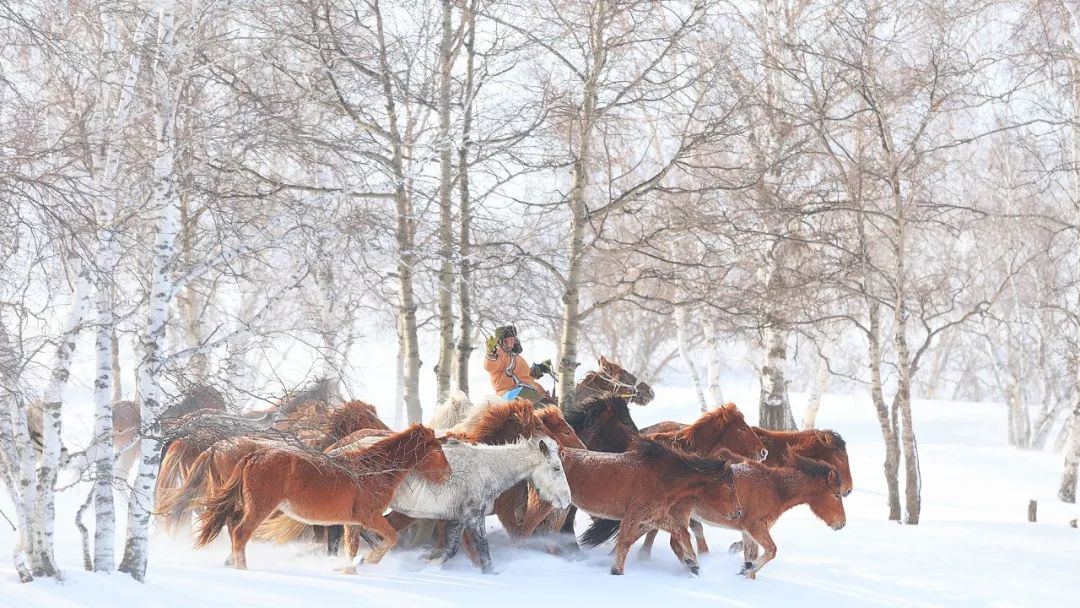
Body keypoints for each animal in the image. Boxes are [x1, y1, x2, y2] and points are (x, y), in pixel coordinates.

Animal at [194, 425, 447, 574]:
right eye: (436, 450)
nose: (448, 474)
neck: (373, 470)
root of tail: (253, 455)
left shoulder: (352, 522)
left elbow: (351, 548)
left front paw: (349, 570)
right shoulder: (369, 516)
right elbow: (391, 538)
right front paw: (369, 560)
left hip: (250, 505)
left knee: (233, 525)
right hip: (261, 507)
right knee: (240, 533)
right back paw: (243, 569)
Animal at [341, 436, 570, 574]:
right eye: (556, 468)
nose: (567, 500)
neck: (486, 470)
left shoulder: (458, 518)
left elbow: (451, 549)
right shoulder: (474, 516)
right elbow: (482, 550)